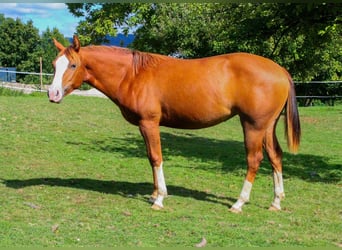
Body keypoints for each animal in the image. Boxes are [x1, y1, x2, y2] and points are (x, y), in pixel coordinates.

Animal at [47, 36, 300, 212]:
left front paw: (159, 198)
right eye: (54, 64)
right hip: (267, 126)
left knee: (254, 160)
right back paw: (276, 202)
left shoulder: (149, 123)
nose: (53, 93)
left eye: (72, 65)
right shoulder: (144, 126)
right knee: (275, 156)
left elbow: (156, 157)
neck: (133, 74)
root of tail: (280, 70)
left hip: (253, 126)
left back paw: (239, 203)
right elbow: (150, 157)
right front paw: (154, 193)